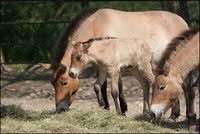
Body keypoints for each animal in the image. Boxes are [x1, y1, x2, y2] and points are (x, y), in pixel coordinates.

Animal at [40, 8, 188, 114]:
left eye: (64, 82)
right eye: (52, 83)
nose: (60, 109)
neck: (96, 25)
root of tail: (183, 21)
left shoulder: (115, 65)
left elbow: (118, 87)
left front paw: (122, 109)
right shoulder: (99, 66)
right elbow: (99, 86)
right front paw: (104, 107)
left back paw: (176, 113)